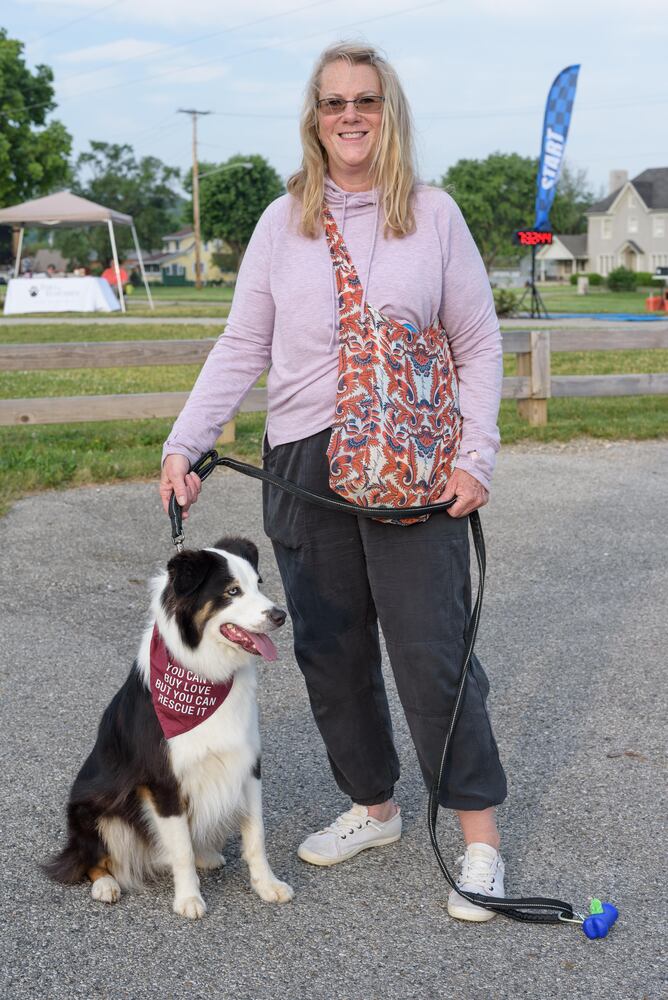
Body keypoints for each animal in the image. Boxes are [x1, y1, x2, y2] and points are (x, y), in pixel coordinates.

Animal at [43, 536, 290, 916]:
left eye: (258, 584)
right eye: (232, 591)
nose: (280, 615)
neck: (205, 674)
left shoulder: (247, 764)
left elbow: (255, 835)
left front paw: (267, 885)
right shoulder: (163, 782)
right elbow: (181, 850)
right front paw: (188, 899)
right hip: (92, 810)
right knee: (91, 859)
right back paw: (106, 884)